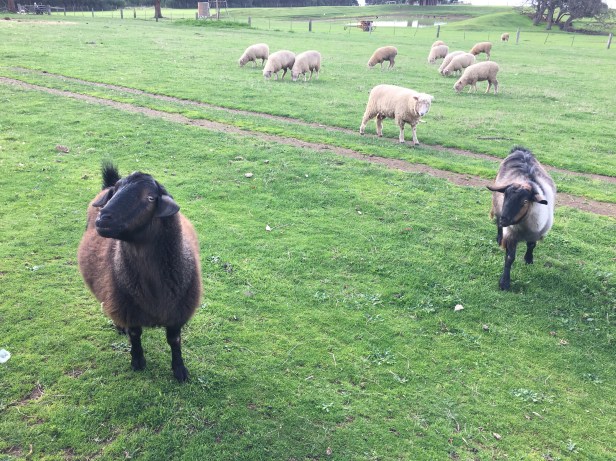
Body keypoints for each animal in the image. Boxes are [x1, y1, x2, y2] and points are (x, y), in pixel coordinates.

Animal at [77, 163, 202, 382]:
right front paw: (138, 362)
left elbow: (174, 340)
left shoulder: (178, 311)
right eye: (115, 192)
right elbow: (135, 336)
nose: (103, 218)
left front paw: (180, 370)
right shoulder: (128, 309)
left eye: (150, 198)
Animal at [487, 147, 556, 290]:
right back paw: (499, 238)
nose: (504, 219)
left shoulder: (535, 233)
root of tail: (520, 150)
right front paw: (504, 283)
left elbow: (531, 245)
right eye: (505, 195)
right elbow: (509, 258)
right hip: (497, 208)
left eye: (525, 201)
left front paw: (528, 259)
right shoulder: (510, 235)